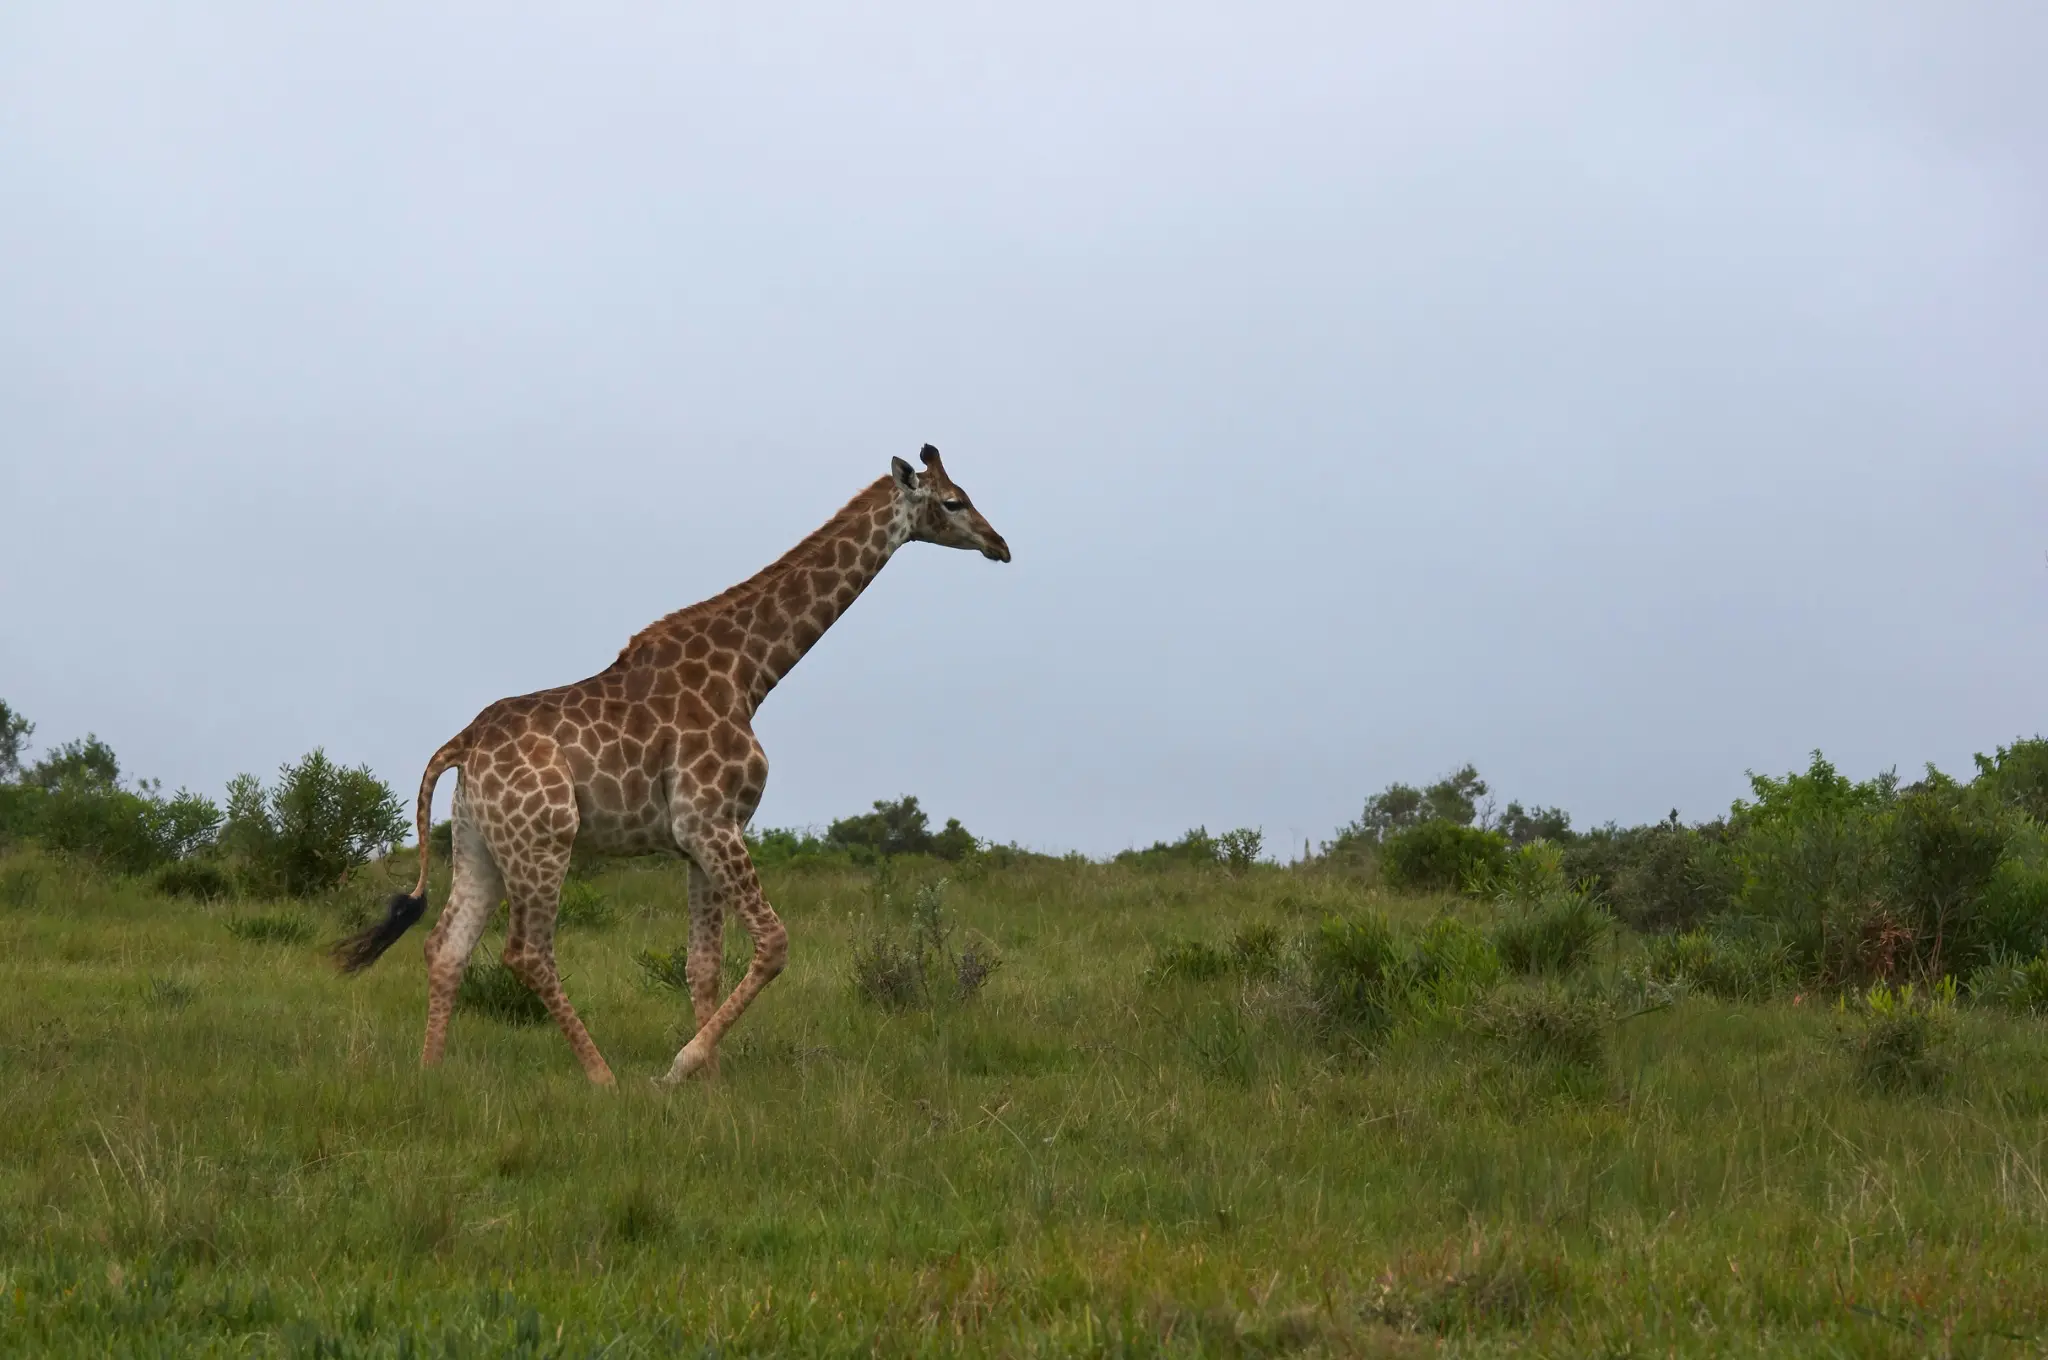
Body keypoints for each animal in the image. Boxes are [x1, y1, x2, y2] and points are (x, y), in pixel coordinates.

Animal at [332, 445, 1010, 1086]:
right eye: (953, 501)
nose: (1000, 545)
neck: (748, 673)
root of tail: (463, 744)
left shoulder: (699, 839)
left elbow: (701, 965)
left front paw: (711, 1088)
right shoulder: (709, 822)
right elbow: (773, 943)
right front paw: (680, 1068)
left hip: (479, 843)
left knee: (446, 946)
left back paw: (431, 1073)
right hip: (543, 840)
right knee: (526, 953)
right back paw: (603, 1078)